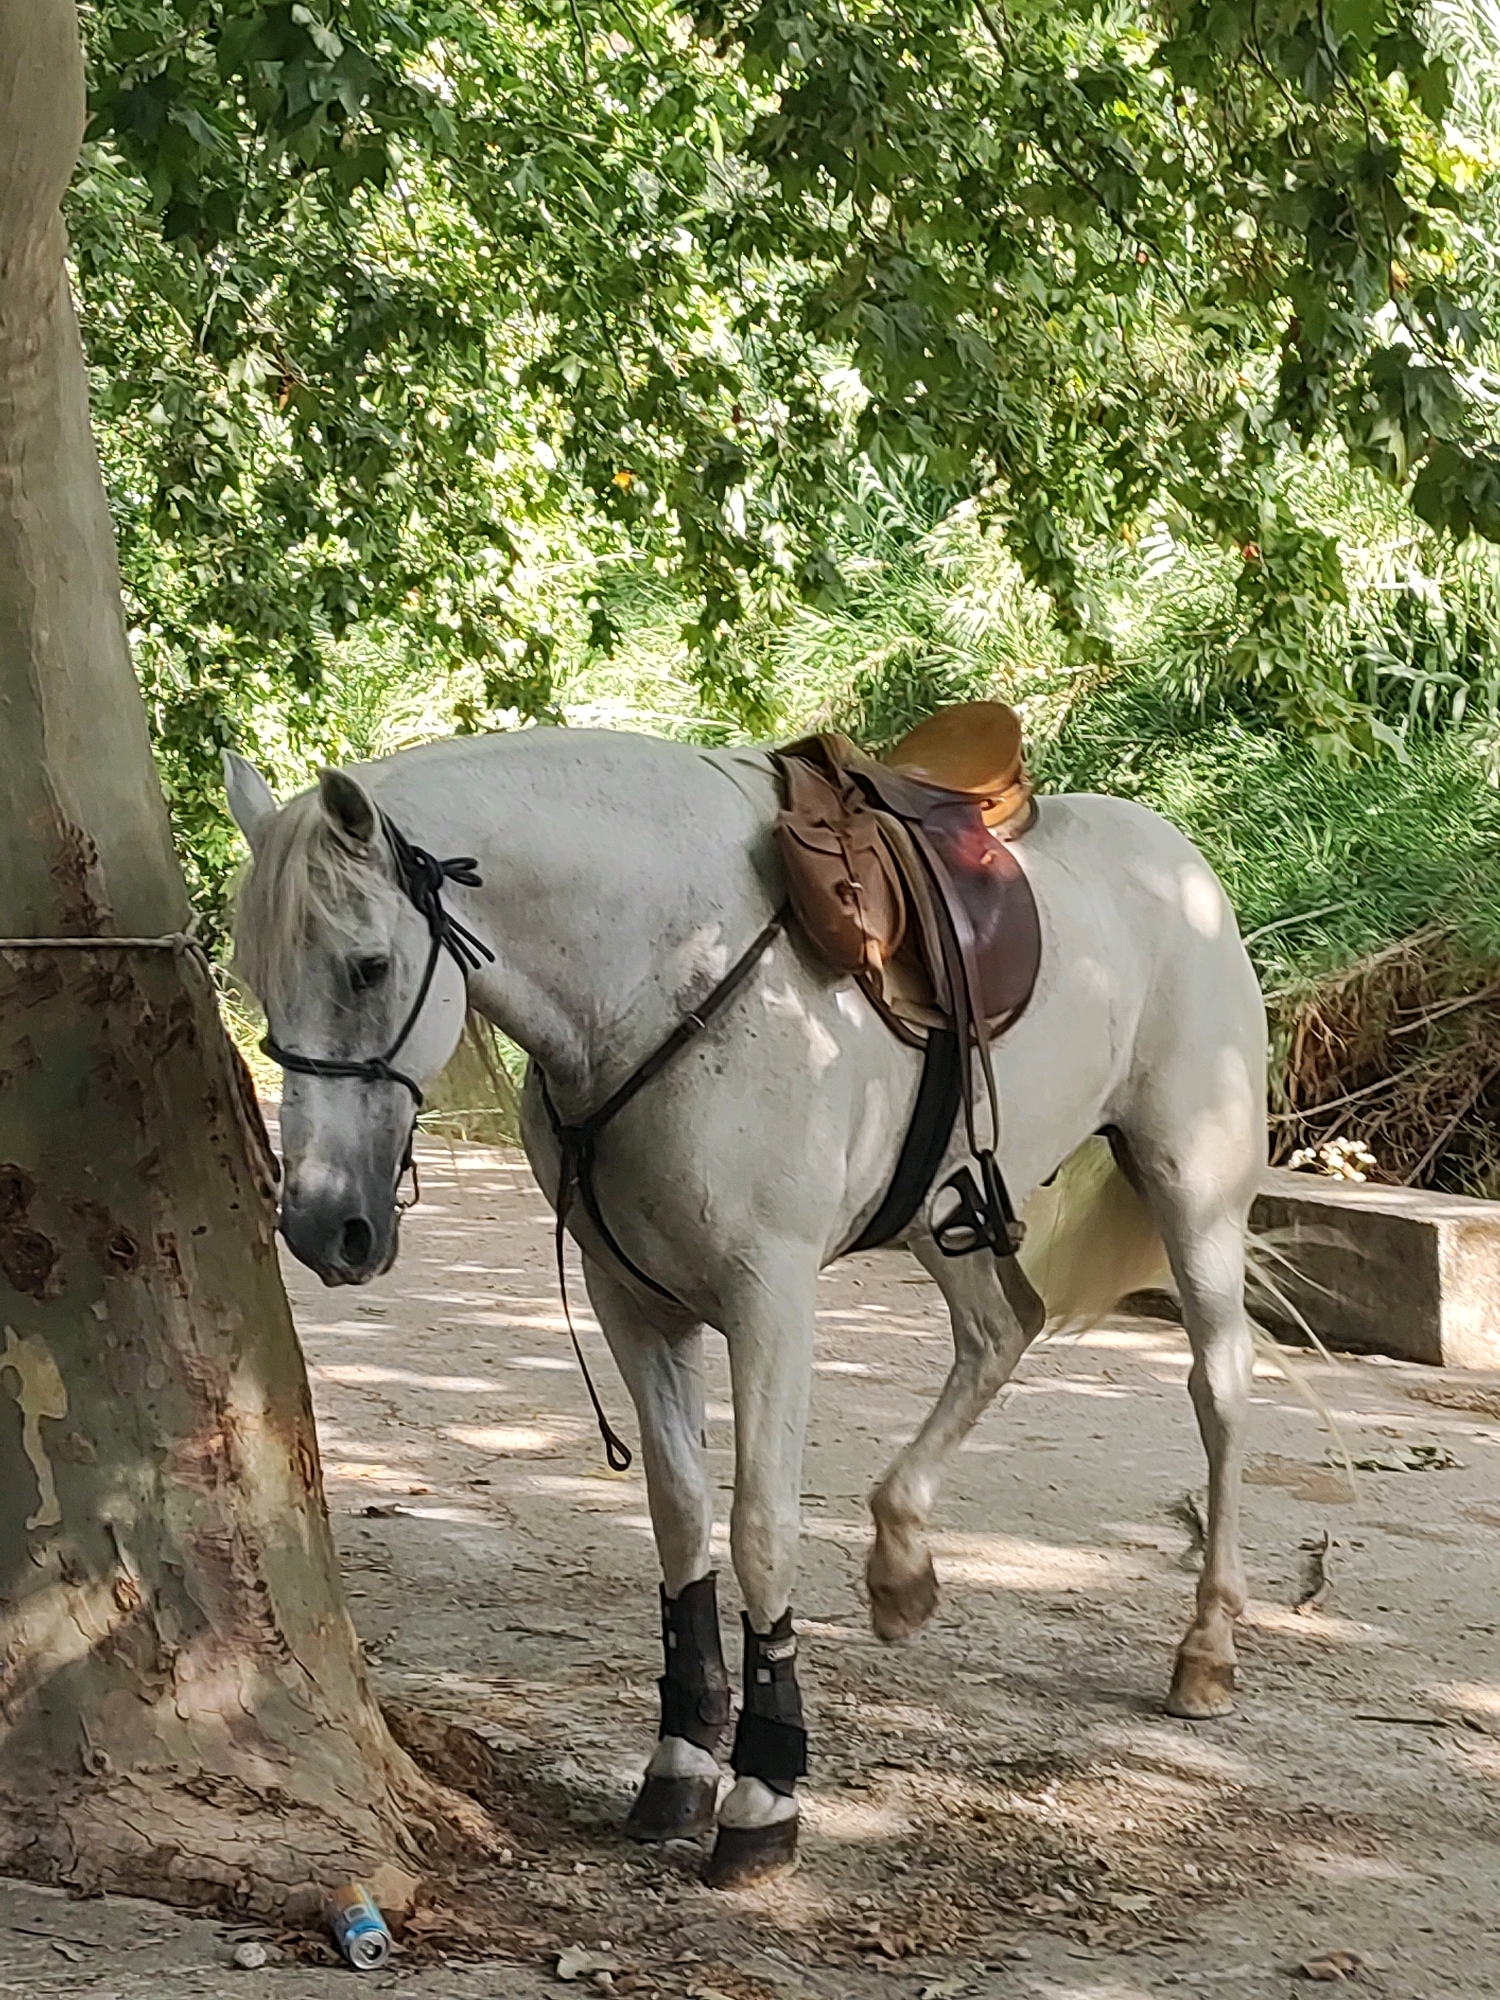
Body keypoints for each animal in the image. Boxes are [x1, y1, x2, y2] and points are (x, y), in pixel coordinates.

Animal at [225, 722, 1266, 1888]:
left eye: (367, 965)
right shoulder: (631, 1303)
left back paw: (1207, 1644)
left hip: (1195, 1187)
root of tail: (1179, 863)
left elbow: (760, 1525)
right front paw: (681, 1758)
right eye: (255, 977)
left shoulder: (770, 1299)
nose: (324, 1225)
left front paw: (766, 1786)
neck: (661, 969)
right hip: (945, 1204)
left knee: (1218, 1392)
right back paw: (902, 1562)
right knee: (1000, 1329)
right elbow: (680, 1516)